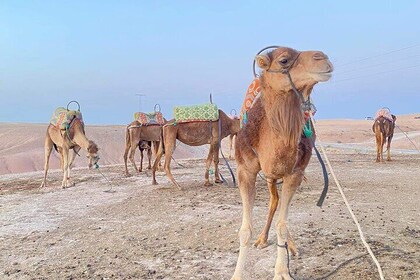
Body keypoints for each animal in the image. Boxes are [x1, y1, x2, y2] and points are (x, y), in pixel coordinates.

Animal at [231, 46, 334, 278]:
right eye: (284, 60)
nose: (324, 58)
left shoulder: (294, 173)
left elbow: (283, 225)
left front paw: (282, 271)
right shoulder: (245, 171)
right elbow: (245, 230)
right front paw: (237, 274)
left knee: (280, 209)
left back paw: (290, 246)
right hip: (269, 176)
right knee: (274, 201)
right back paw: (262, 239)